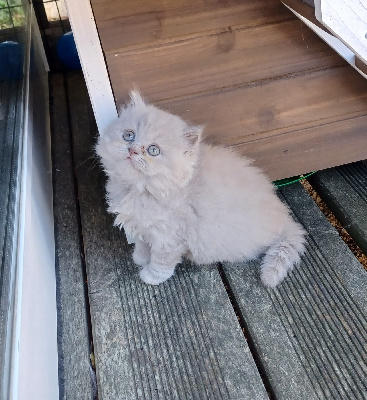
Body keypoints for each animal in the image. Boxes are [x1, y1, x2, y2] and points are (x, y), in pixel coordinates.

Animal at [96, 93, 306, 288]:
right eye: (128, 135)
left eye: (153, 150)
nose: (132, 150)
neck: (139, 190)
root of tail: (284, 217)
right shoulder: (143, 226)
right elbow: (142, 243)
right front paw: (140, 257)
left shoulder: (170, 237)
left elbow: (162, 261)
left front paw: (151, 276)